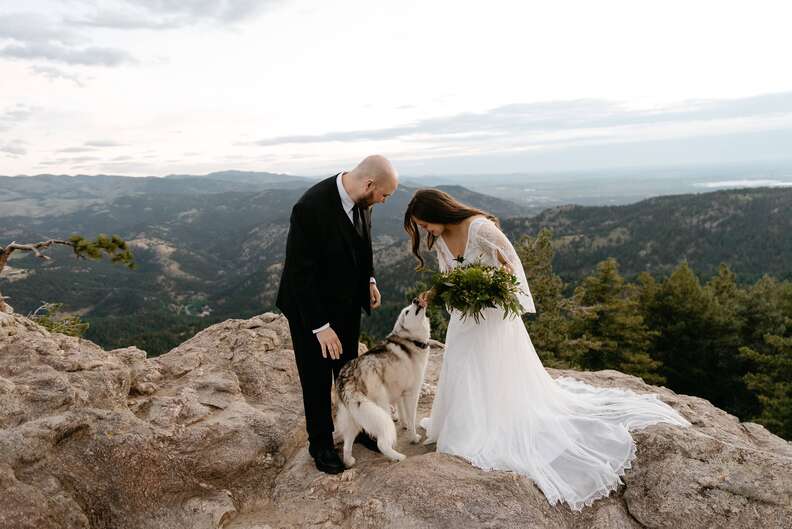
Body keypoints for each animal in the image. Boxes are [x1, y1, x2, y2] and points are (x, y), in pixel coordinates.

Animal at [334, 296, 434, 466]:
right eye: (407, 311)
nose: (415, 299)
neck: (411, 340)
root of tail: (347, 376)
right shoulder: (412, 393)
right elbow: (411, 419)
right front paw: (413, 437)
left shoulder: (400, 393)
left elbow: (402, 414)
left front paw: (404, 425)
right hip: (380, 408)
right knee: (381, 443)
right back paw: (397, 456)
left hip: (355, 415)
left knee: (347, 445)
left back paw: (349, 461)